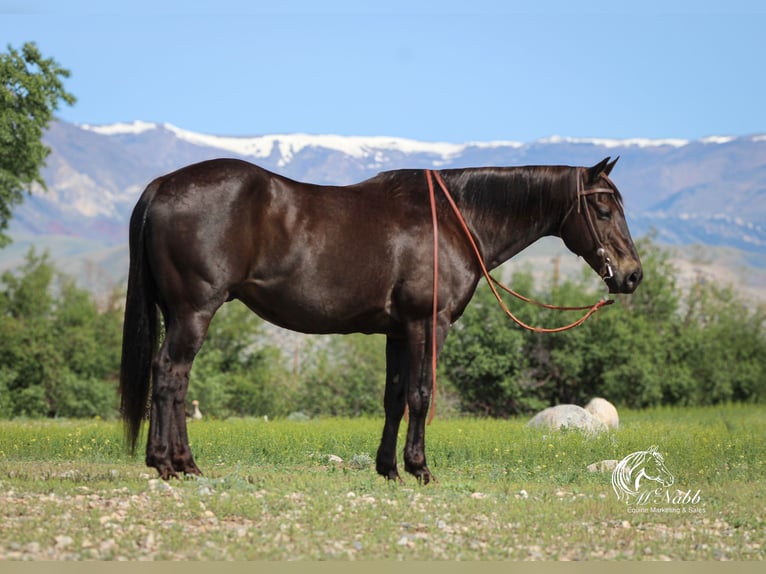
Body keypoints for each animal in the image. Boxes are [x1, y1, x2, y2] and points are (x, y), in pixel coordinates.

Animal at [119, 156, 642, 483]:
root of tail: (164, 185)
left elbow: (393, 398)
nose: (633, 275)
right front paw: (420, 467)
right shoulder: (427, 325)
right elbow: (420, 394)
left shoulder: (397, 332)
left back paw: (176, 462)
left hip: (177, 312)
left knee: (171, 377)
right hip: (194, 311)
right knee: (171, 376)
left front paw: (388, 468)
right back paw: (173, 464)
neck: (453, 220)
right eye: (602, 207)